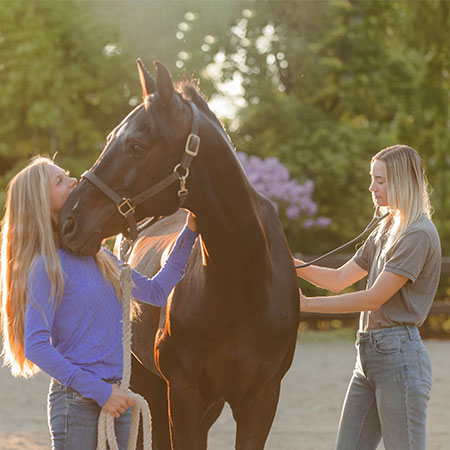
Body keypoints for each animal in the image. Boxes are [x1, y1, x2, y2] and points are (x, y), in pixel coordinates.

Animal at [59, 60, 298, 450]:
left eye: (137, 145)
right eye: (110, 139)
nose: (69, 220)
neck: (243, 282)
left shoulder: (261, 399)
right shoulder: (183, 392)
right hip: (150, 385)